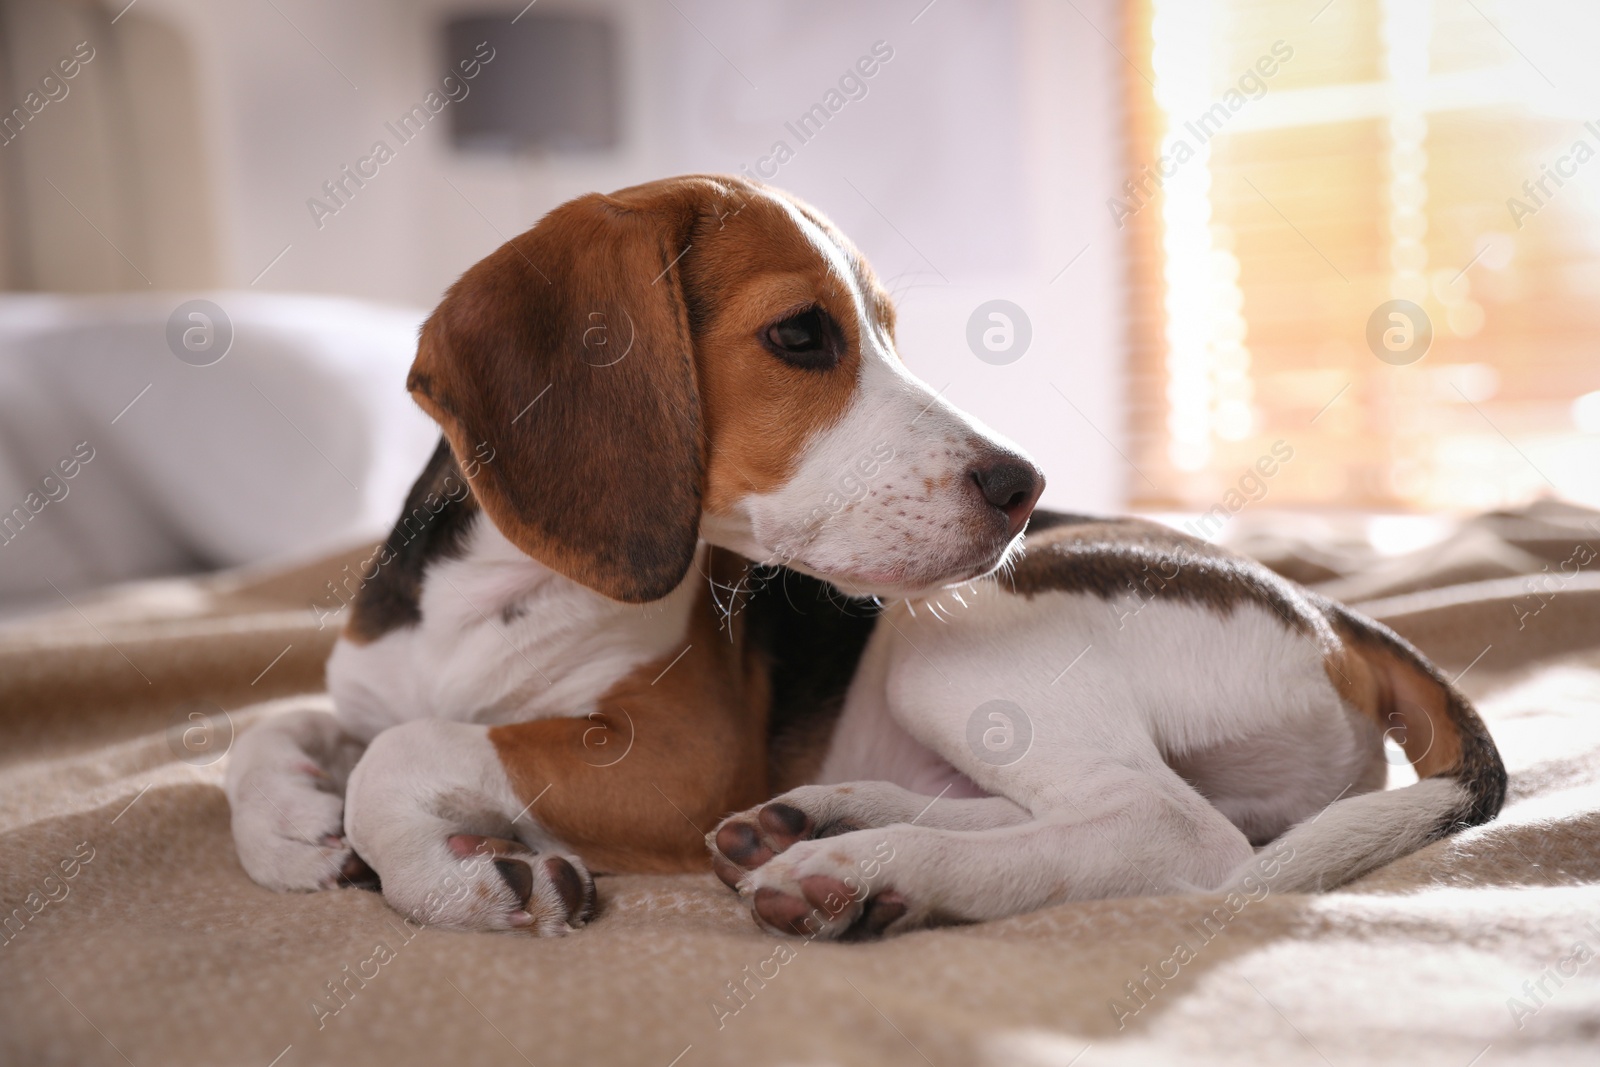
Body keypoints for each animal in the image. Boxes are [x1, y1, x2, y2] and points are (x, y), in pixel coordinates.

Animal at [228, 175, 1049, 934]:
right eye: (799, 334)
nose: (1023, 485)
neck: (496, 589)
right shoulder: (370, 691)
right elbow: (276, 724)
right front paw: (290, 825)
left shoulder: (680, 756)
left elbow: (403, 749)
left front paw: (453, 878)